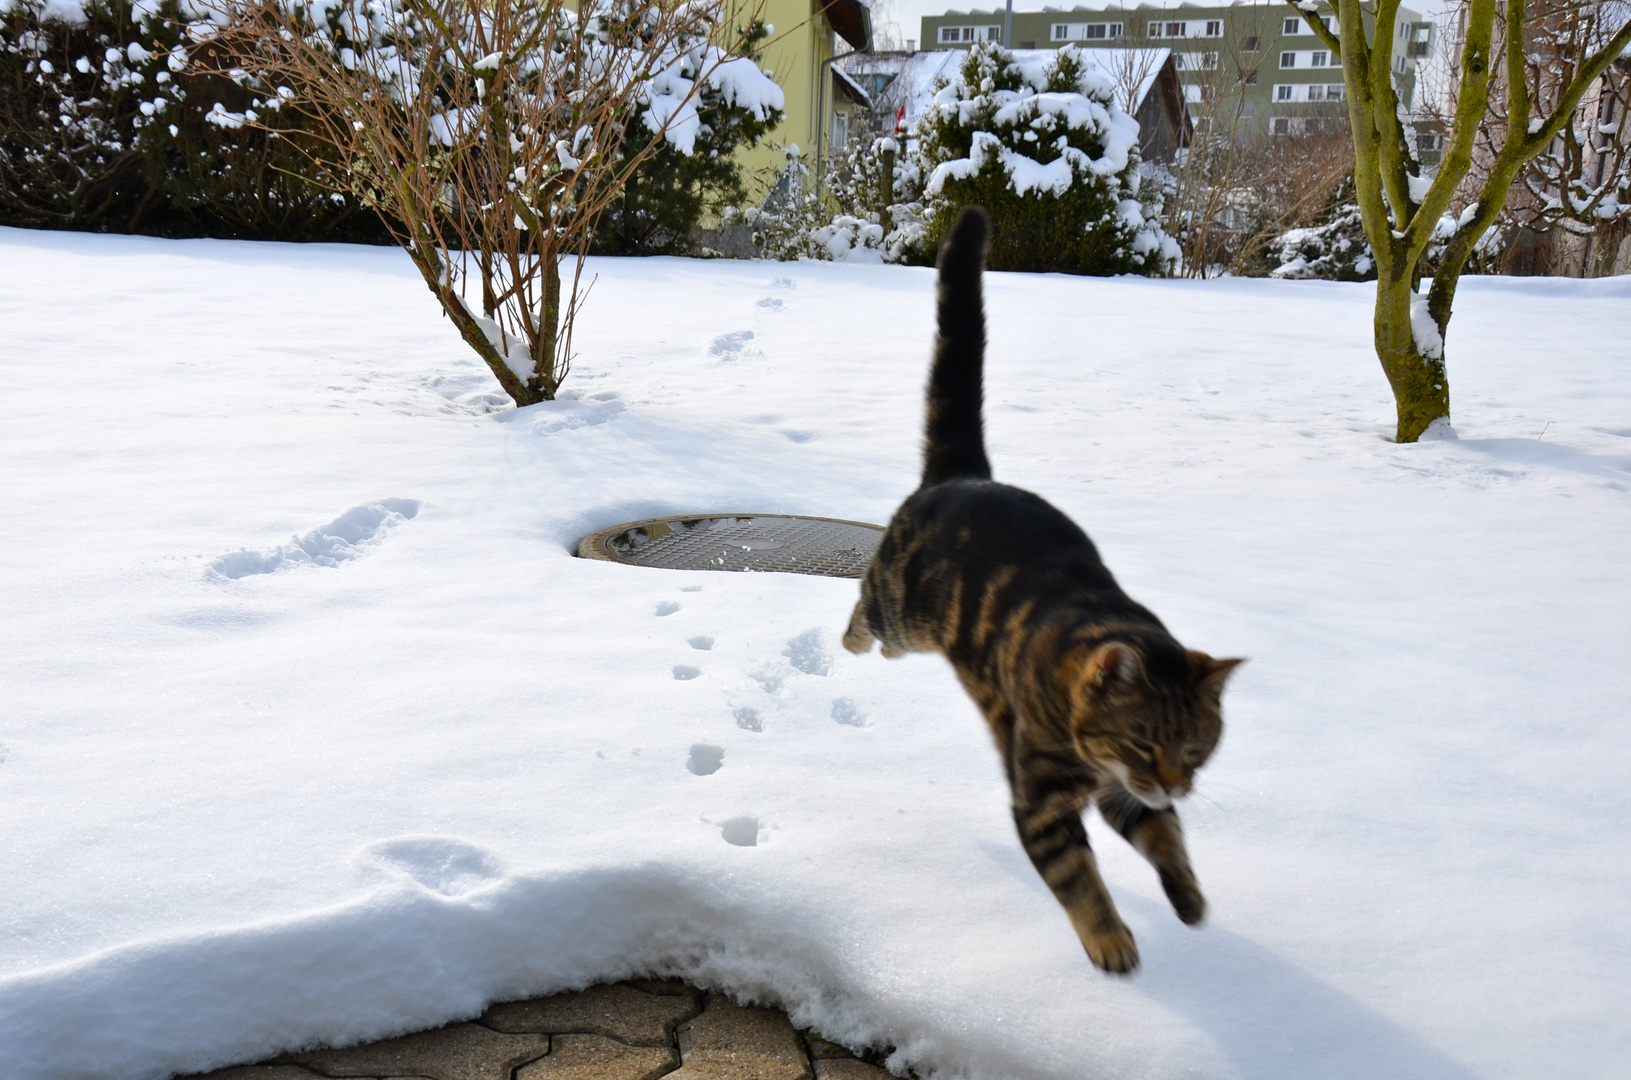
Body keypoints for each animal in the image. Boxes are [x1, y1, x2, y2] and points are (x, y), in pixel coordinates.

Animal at [848, 207, 1239, 978]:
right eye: (1145, 741)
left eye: (1196, 749)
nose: (1177, 783)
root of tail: (964, 474)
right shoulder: (1043, 802)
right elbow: (1078, 879)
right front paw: (1110, 941)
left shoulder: (1126, 798)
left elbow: (1168, 840)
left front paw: (1188, 899)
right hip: (902, 608)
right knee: (864, 601)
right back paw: (854, 642)